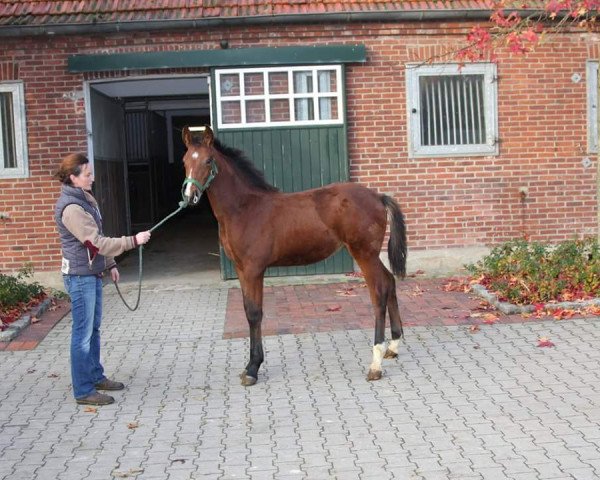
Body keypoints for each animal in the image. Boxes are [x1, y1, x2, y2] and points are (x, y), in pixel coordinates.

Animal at [183, 125, 408, 384]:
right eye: (185, 160)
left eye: (208, 160)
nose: (189, 196)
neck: (244, 209)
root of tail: (378, 197)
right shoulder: (241, 269)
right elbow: (248, 310)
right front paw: (251, 365)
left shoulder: (253, 269)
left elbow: (254, 313)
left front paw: (252, 368)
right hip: (371, 254)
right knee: (390, 281)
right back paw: (393, 346)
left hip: (364, 253)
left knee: (379, 290)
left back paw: (375, 364)